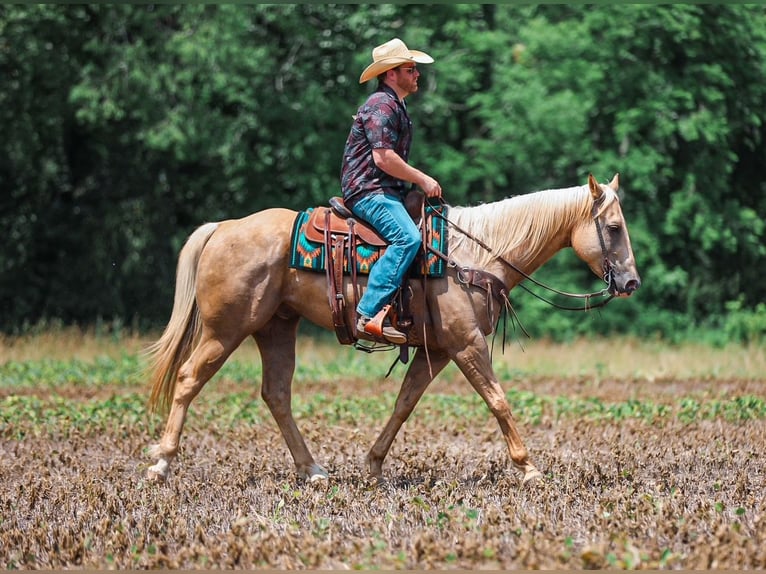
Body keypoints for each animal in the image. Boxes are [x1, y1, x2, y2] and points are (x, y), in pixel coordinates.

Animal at [145, 174, 640, 485]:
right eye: (615, 227)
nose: (631, 283)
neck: (475, 256)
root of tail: (222, 227)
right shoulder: (466, 344)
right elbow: (498, 400)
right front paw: (530, 468)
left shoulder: (435, 349)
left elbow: (405, 403)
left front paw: (373, 464)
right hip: (224, 329)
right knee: (189, 379)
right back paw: (161, 465)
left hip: (276, 328)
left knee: (276, 395)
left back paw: (313, 470)